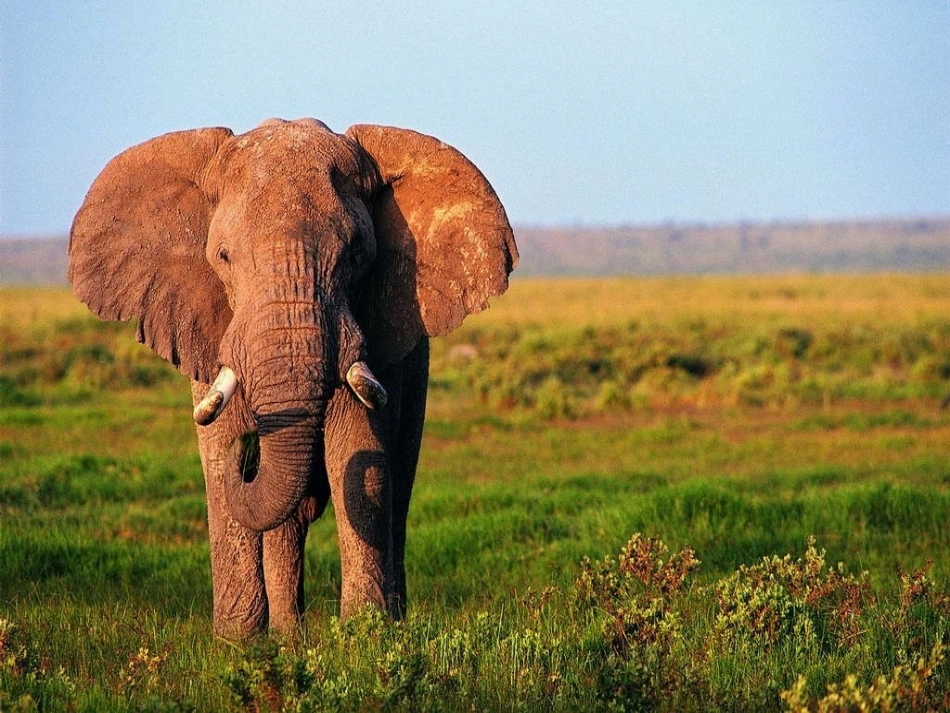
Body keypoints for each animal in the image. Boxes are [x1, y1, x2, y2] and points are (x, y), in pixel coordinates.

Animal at [67, 117, 518, 639]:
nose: (249, 449)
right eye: (223, 256)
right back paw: (287, 636)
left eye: (356, 256)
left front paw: (363, 636)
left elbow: (359, 456)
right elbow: (219, 457)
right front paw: (238, 644)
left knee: (397, 481)